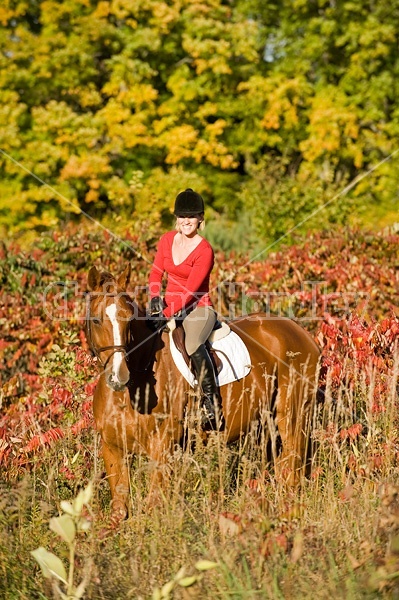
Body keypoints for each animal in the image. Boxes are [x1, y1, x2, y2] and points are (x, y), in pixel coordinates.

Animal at [86, 264, 322, 524]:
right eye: (96, 320)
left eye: (129, 320)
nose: (119, 376)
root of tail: (301, 332)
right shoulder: (112, 450)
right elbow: (120, 510)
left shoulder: (162, 446)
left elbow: (155, 506)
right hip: (267, 427)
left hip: (292, 418)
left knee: (293, 470)